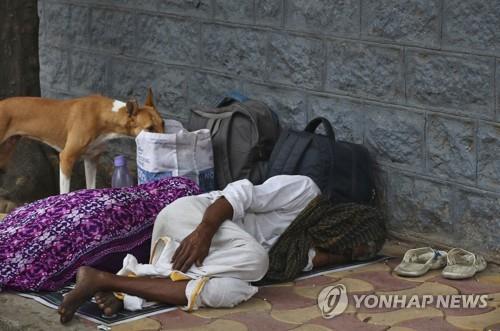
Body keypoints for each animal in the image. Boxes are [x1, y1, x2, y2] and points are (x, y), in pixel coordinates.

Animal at [0, 88, 164, 195]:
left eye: (163, 124)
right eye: (149, 128)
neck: (103, 115)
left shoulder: (91, 159)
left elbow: (91, 186)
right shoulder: (66, 158)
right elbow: (64, 192)